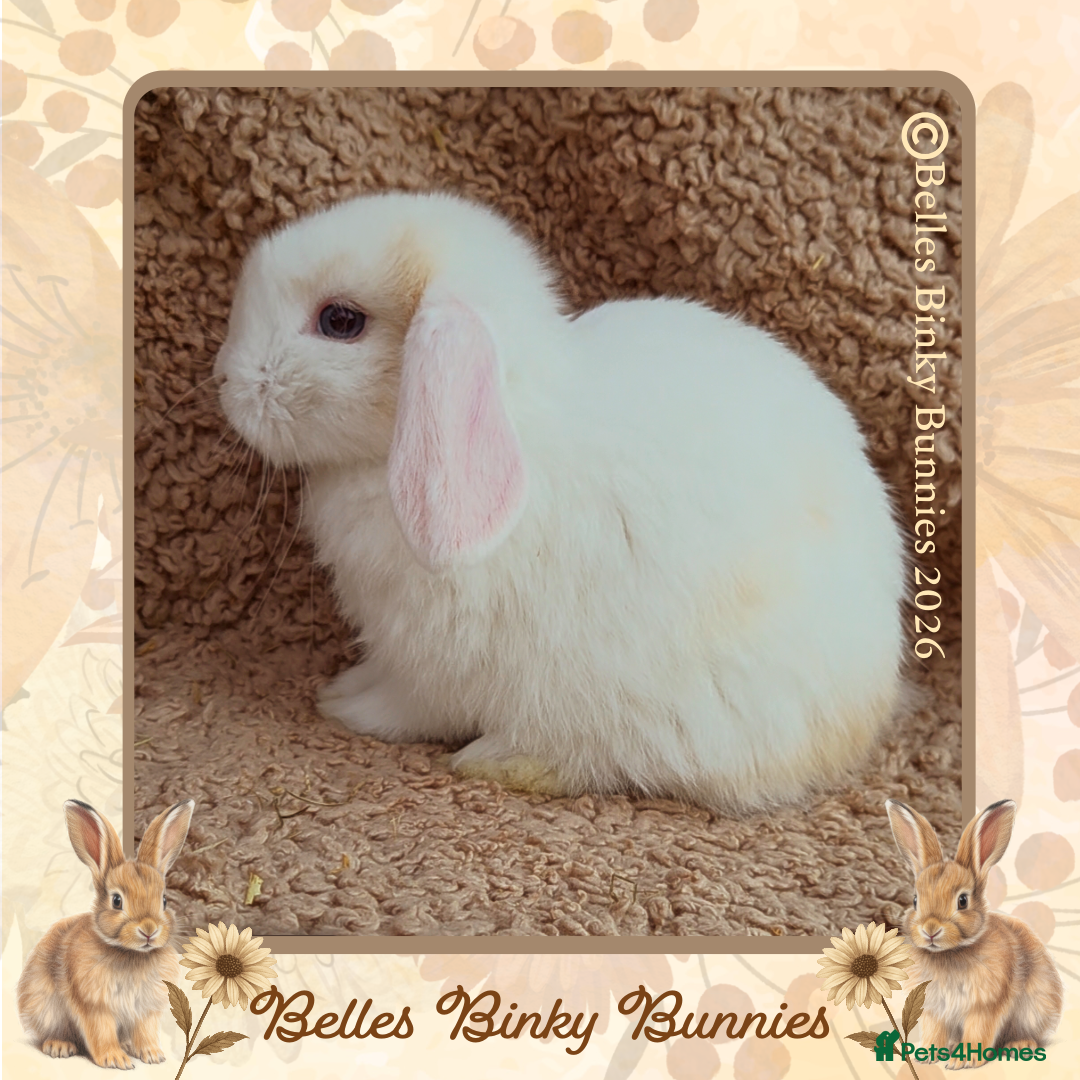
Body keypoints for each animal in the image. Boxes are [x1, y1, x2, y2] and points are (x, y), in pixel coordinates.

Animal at [17, 798, 195, 1069]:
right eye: (117, 901)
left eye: (164, 900)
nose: (149, 930)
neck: (131, 954)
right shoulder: (95, 1005)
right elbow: (101, 1031)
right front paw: (116, 1060)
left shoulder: (145, 1009)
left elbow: (145, 1031)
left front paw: (153, 1055)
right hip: (46, 1008)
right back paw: (59, 1046)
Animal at [214, 189, 906, 813]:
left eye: (340, 321)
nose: (225, 379)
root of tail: (860, 720)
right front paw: (345, 686)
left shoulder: (431, 665)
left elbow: (406, 706)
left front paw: (346, 706)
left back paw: (496, 759)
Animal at [885, 798, 1063, 1066]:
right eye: (915, 900)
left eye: (962, 901)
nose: (930, 930)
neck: (950, 953)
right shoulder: (935, 1009)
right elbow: (934, 1031)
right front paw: (926, 1056)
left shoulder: (984, 1005)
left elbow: (978, 1031)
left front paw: (963, 1061)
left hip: (1034, 1009)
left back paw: (1019, 1045)